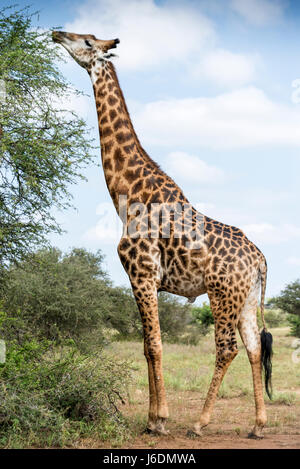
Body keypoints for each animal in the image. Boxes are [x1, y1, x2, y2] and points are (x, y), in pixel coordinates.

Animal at [52, 31, 274, 436]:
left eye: (88, 41)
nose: (57, 33)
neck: (127, 194)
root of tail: (261, 259)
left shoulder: (140, 273)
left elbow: (154, 345)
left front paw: (159, 420)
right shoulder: (149, 281)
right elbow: (146, 345)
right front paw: (152, 417)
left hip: (221, 295)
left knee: (227, 348)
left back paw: (200, 423)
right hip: (247, 298)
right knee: (253, 348)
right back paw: (258, 424)